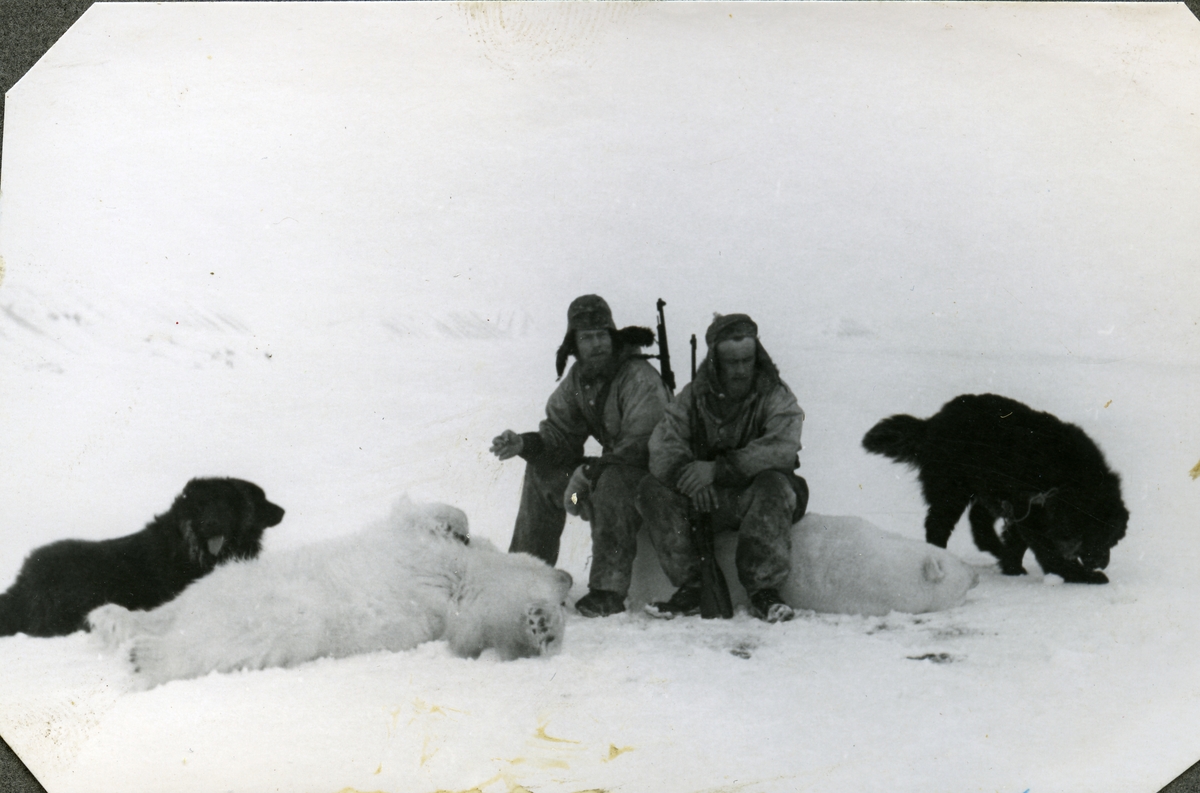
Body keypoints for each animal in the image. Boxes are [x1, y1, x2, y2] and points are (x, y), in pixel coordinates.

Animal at [87, 494, 571, 686]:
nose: (567, 580)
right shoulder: (417, 545)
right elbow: (431, 517)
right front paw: (460, 526)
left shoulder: (458, 611)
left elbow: (482, 631)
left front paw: (541, 626)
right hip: (227, 582)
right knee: (178, 612)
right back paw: (116, 624)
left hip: (289, 622)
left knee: (223, 640)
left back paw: (141, 654)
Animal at [864, 393, 1123, 585]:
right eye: (1097, 538)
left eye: (1112, 540)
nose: (1102, 563)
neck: (1070, 479)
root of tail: (934, 421)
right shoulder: (1031, 510)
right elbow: (1048, 550)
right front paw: (1079, 575)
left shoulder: (1025, 507)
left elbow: (1018, 540)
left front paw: (1012, 566)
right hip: (952, 489)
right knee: (938, 525)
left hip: (987, 489)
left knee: (978, 521)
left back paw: (996, 549)